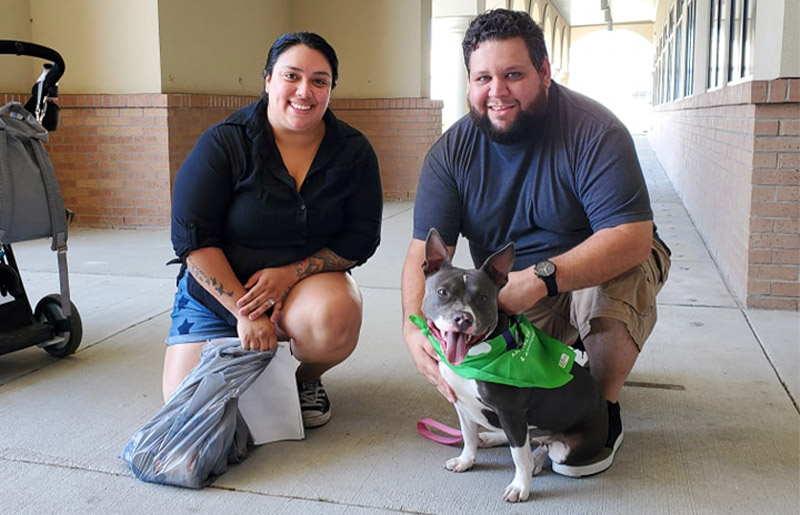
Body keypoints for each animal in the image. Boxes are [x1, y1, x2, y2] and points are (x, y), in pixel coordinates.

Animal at [418, 230, 608, 504]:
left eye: (483, 298)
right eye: (443, 292)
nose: (463, 318)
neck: (475, 358)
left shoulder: (511, 411)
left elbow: (519, 456)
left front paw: (520, 486)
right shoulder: (461, 403)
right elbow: (468, 435)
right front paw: (466, 460)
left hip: (567, 446)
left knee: (542, 447)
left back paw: (536, 460)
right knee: (528, 438)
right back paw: (492, 437)